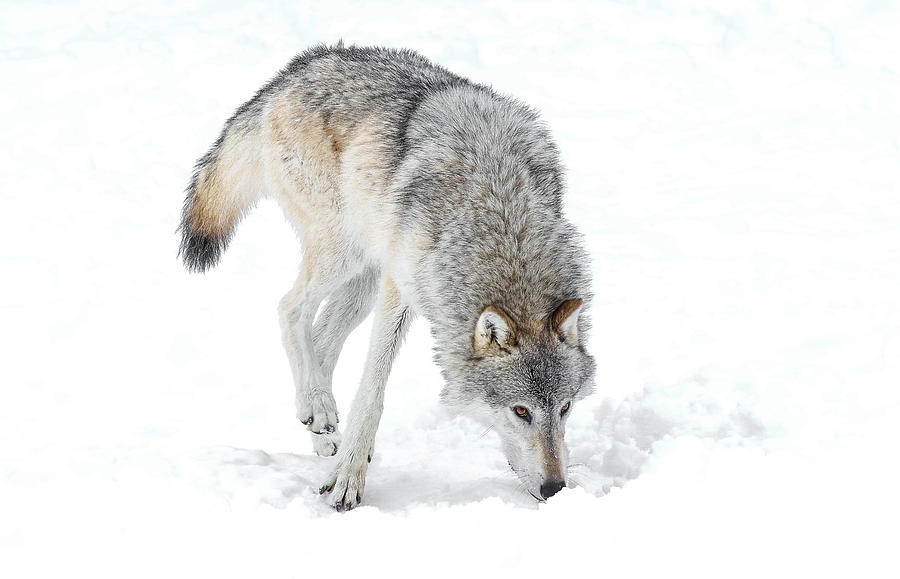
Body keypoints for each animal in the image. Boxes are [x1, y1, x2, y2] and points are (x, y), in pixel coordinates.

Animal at [178, 43, 596, 510]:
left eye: (565, 408)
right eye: (521, 411)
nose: (556, 488)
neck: (499, 215)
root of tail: (301, 66)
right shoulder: (400, 291)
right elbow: (372, 391)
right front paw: (348, 476)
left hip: (363, 281)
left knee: (319, 340)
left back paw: (319, 421)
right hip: (343, 253)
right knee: (289, 307)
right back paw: (320, 408)